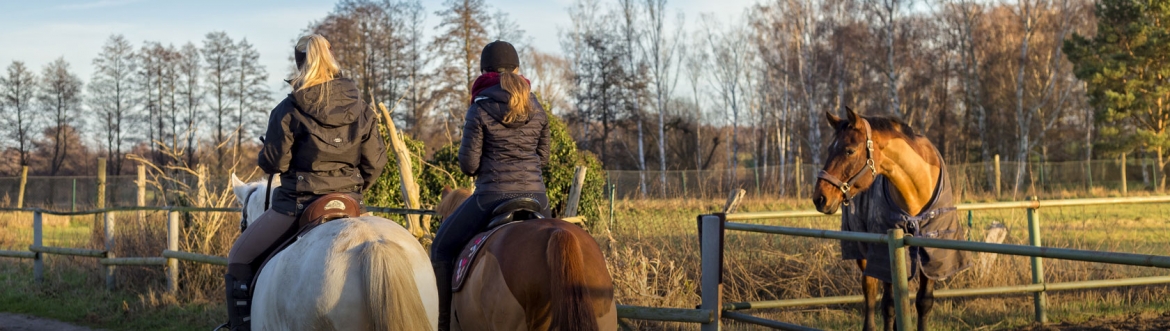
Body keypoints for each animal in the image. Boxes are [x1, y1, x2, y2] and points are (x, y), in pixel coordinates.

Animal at [814, 108, 968, 331]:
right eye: (828, 149)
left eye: (849, 150)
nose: (819, 198)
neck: (917, 191)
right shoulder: (884, 252)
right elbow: (888, 304)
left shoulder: (932, 252)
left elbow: (923, 301)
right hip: (863, 250)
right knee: (869, 288)